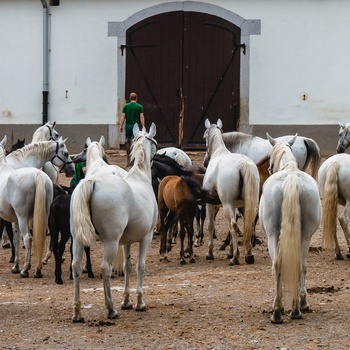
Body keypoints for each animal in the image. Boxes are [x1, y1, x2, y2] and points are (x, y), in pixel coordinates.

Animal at [0, 135, 53, 278]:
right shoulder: (15, 220)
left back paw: (25, 270)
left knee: (28, 238)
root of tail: (37, 174)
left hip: (23, 217)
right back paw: (37, 269)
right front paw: (15, 266)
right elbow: (15, 239)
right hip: (42, 215)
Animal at [70, 123, 158, 322]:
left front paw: (126, 301)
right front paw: (139, 302)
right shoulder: (146, 237)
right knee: (105, 268)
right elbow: (140, 266)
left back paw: (78, 312)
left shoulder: (126, 242)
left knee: (76, 266)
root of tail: (93, 181)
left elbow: (127, 266)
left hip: (78, 239)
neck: (140, 177)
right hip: (110, 242)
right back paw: (111, 309)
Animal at [201, 119, 258, 264]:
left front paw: (210, 252)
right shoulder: (236, 205)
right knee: (246, 224)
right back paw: (248, 255)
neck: (218, 152)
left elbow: (211, 226)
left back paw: (235, 258)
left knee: (233, 226)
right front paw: (230, 251)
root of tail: (243, 165)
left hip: (227, 204)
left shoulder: (210, 204)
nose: (205, 162)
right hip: (246, 204)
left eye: (204, 136)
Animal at [258, 133, 322, 322]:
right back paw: (296, 308)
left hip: (273, 235)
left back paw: (279, 311)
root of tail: (292, 179)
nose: (270, 168)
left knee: (277, 265)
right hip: (305, 235)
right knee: (300, 264)